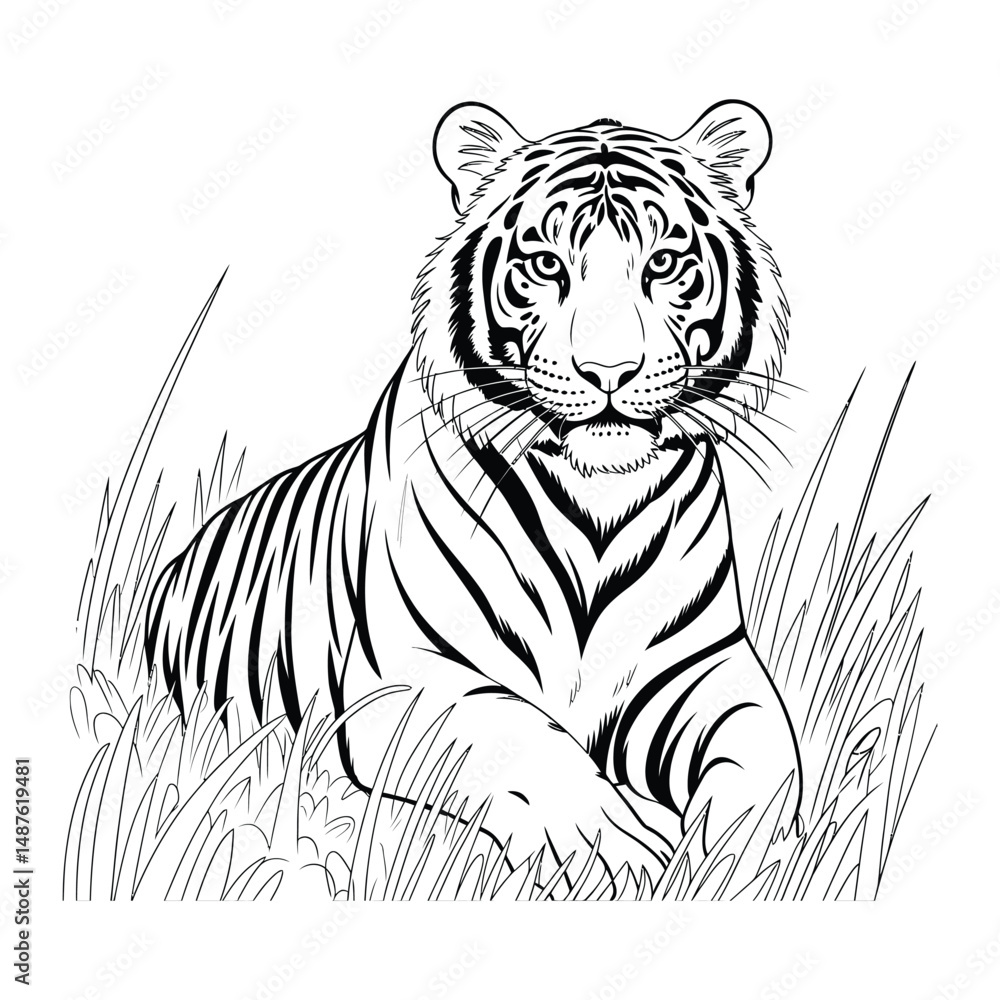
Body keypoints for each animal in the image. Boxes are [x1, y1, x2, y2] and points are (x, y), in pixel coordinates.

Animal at [144, 99, 802, 889]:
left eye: (664, 265)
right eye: (546, 265)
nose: (609, 371)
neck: (599, 504)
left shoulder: (704, 669)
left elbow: (766, 761)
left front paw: (736, 854)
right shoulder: (410, 683)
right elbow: (528, 742)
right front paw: (612, 846)